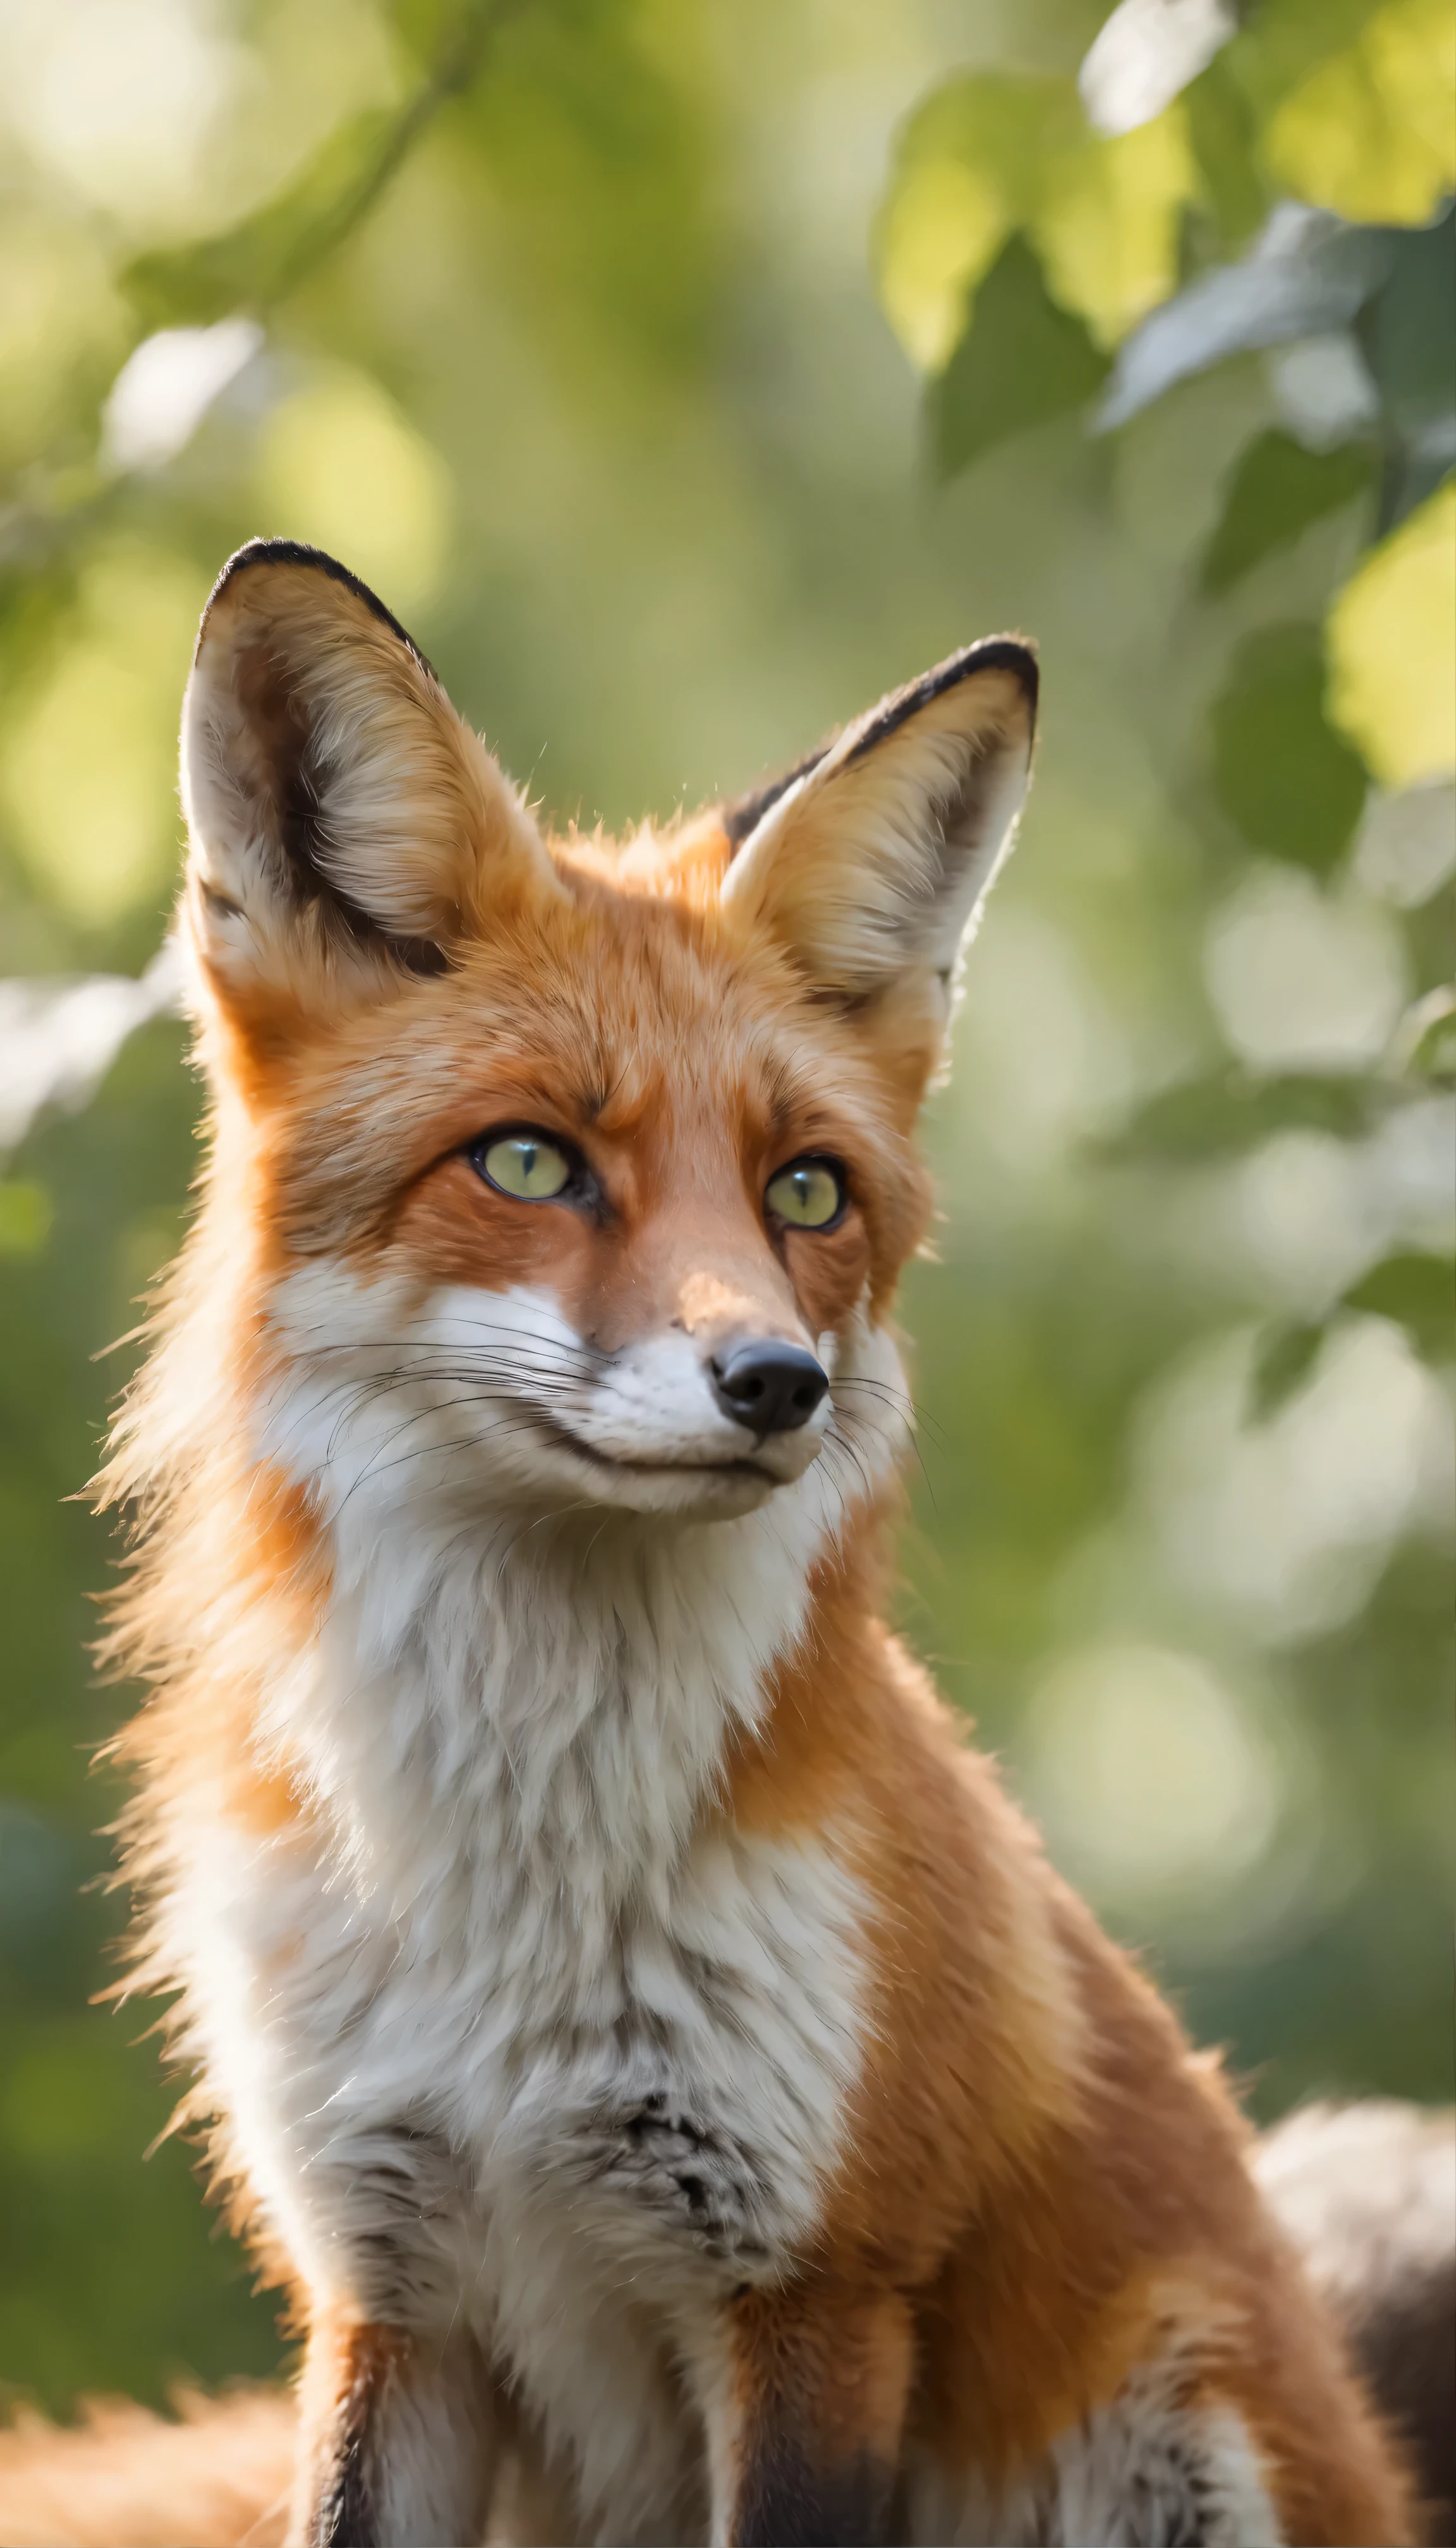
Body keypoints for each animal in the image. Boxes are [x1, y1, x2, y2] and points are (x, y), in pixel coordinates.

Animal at [31, 542, 1428, 2548]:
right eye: (530, 1163)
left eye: (805, 1194)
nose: (777, 1384)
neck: (519, 1878)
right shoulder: (389, 2283)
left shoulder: (814, 2287)